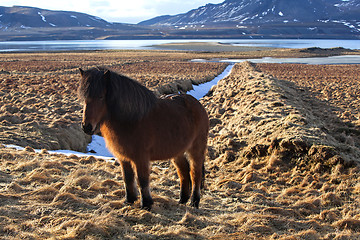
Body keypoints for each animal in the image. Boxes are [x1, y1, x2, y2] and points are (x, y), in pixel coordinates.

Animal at [77, 67, 210, 210]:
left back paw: (194, 202)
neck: (131, 119)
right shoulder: (123, 157)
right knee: (184, 172)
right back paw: (182, 200)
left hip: (196, 150)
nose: (86, 127)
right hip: (178, 152)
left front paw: (146, 204)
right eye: (84, 98)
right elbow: (128, 178)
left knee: (195, 174)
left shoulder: (141, 158)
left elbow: (142, 180)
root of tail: (197, 104)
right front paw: (129, 200)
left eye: (101, 97)